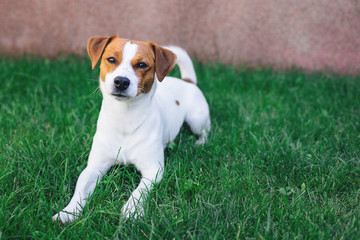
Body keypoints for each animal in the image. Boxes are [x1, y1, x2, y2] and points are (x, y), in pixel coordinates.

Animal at [52, 35, 210, 223]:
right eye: (111, 59)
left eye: (142, 64)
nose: (121, 81)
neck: (125, 118)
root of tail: (187, 81)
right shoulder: (95, 166)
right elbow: (80, 188)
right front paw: (68, 212)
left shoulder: (153, 170)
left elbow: (139, 190)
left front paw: (132, 209)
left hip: (197, 119)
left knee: (205, 132)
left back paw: (200, 143)